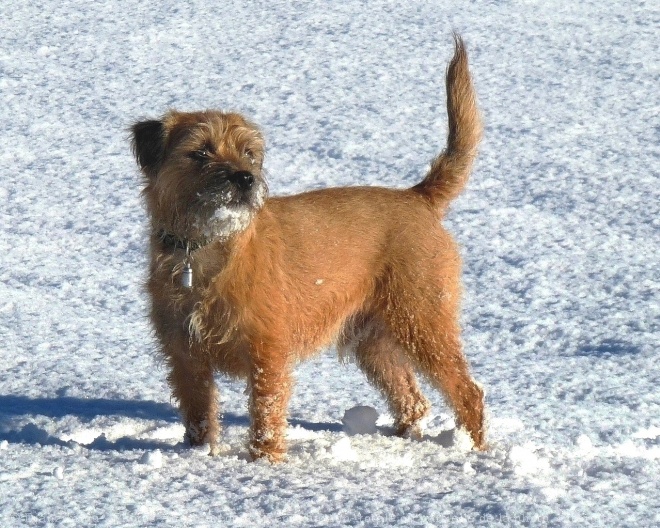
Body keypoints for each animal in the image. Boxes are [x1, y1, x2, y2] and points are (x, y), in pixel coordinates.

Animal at [130, 35, 484, 462]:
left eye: (248, 153)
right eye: (199, 152)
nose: (245, 178)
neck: (206, 249)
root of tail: (417, 197)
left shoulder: (267, 353)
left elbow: (266, 411)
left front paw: (264, 461)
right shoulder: (186, 356)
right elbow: (198, 412)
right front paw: (199, 454)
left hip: (422, 323)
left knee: (468, 391)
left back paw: (474, 450)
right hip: (374, 342)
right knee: (413, 400)